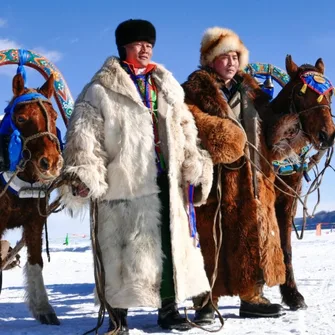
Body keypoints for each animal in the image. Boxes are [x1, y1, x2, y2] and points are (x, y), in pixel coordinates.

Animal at [262, 55, 335, 312]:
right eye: (302, 94)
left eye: (330, 93)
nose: (327, 135)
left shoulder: (288, 198)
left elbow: (286, 247)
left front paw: (292, 294)